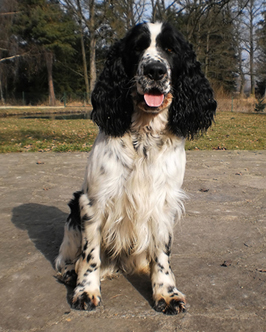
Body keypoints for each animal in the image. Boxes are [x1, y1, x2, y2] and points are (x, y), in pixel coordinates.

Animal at [55, 22, 217, 316]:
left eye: (171, 49)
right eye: (137, 48)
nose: (155, 70)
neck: (144, 136)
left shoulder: (163, 204)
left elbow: (162, 255)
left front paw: (166, 292)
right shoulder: (93, 201)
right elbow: (90, 255)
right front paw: (86, 290)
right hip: (74, 212)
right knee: (67, 258)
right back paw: (72, 273)